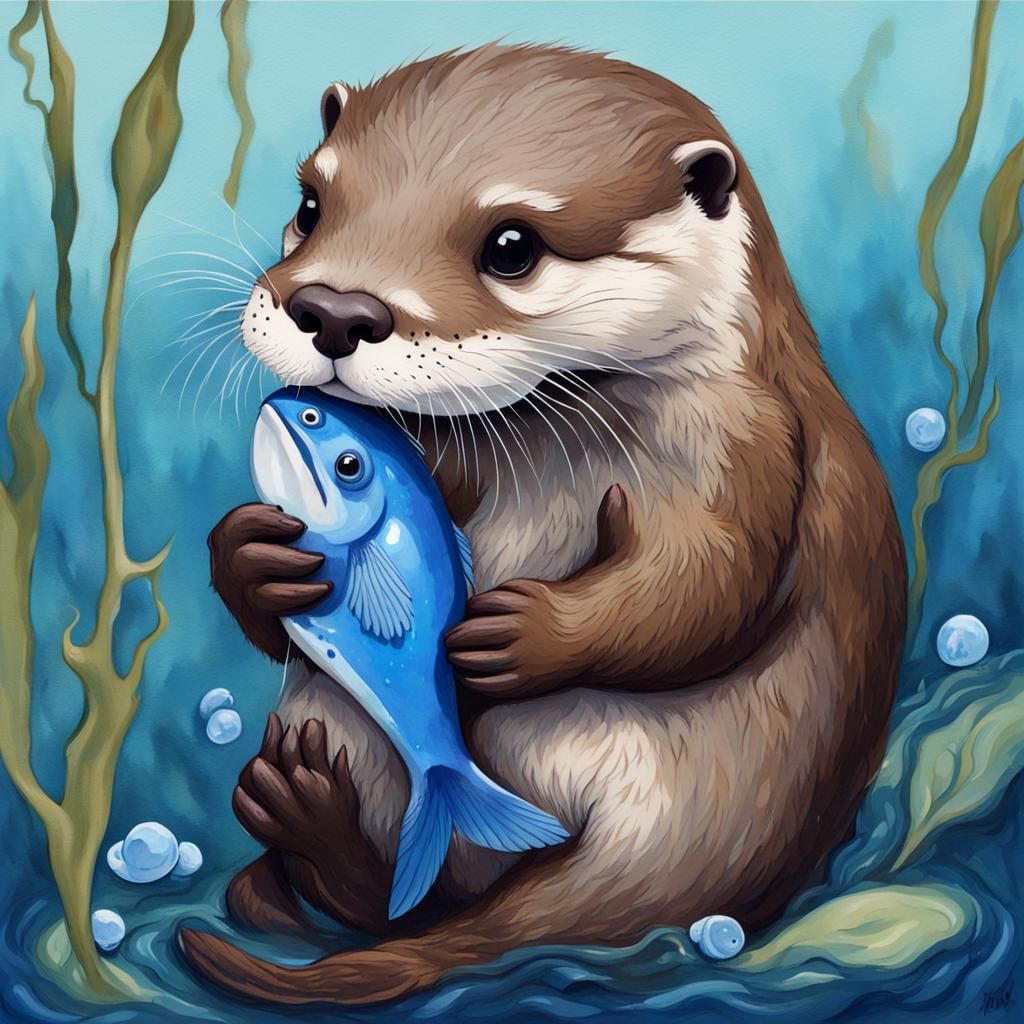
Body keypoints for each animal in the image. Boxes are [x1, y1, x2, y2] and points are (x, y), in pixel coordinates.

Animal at [180, 44, 907, 1006]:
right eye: (310, 204)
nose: (335, 310)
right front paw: (253, 555)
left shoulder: (736, 437)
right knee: (389, 899)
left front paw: (522, 635)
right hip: (339, 723)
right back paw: (305, 819)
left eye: (512, 246)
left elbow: (705, 582)